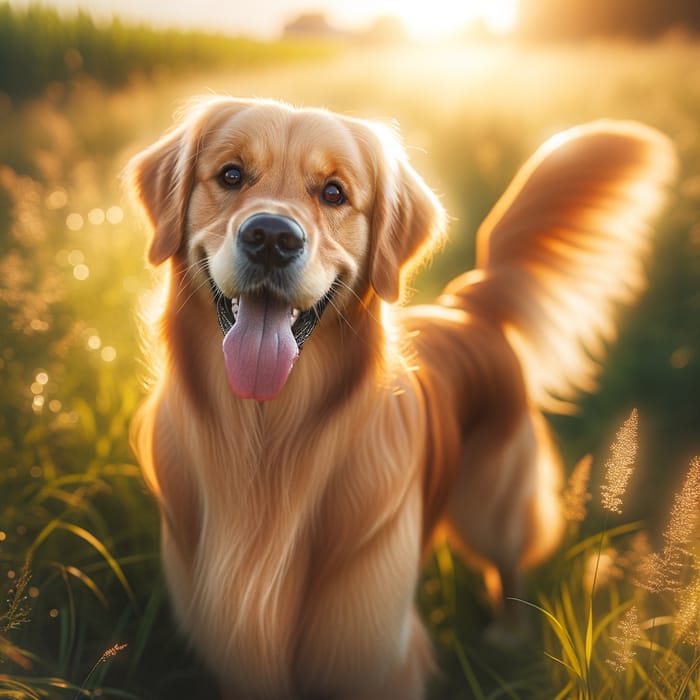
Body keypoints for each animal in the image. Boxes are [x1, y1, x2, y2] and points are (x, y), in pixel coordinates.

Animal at [127, 95, 680, 696]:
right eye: (230, 175)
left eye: (334, 193)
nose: (272, 238)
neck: (268, 446)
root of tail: (467, 305)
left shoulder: (374, 649)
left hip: (492, 502)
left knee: (508, 561)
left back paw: (509, 634)